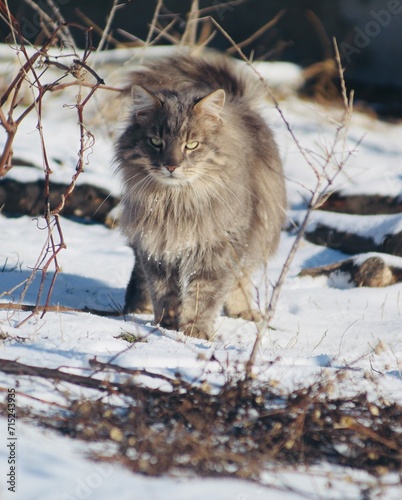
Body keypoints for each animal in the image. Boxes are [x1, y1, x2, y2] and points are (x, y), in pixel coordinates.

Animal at [114, 53, 288, 340]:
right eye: (156, 142)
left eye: (191, 145)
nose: (171, 166)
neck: (176, 202)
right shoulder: (157, 246)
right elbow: (164, 292)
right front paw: (166, 325)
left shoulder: (218, 248)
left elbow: (204, 295)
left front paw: (195, 332)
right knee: (139, 275)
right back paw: (137, 307)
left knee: (241, 279)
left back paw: (244, 312)